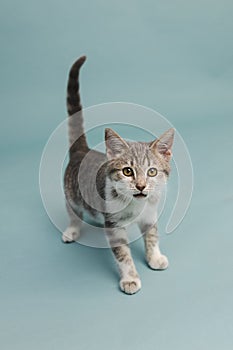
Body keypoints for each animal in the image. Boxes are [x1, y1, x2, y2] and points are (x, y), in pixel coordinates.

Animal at [62, 56, 174, 294]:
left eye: (152, 171)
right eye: (127, 171)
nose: (141, 186)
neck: (135, 205)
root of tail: (82, 151)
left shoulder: (150, 214)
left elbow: (152, 236)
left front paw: (155, 257)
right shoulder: (114, 226)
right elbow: (122, 254)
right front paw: (130, 278)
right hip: (71, 193)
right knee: (73, 212)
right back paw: (72, 230)